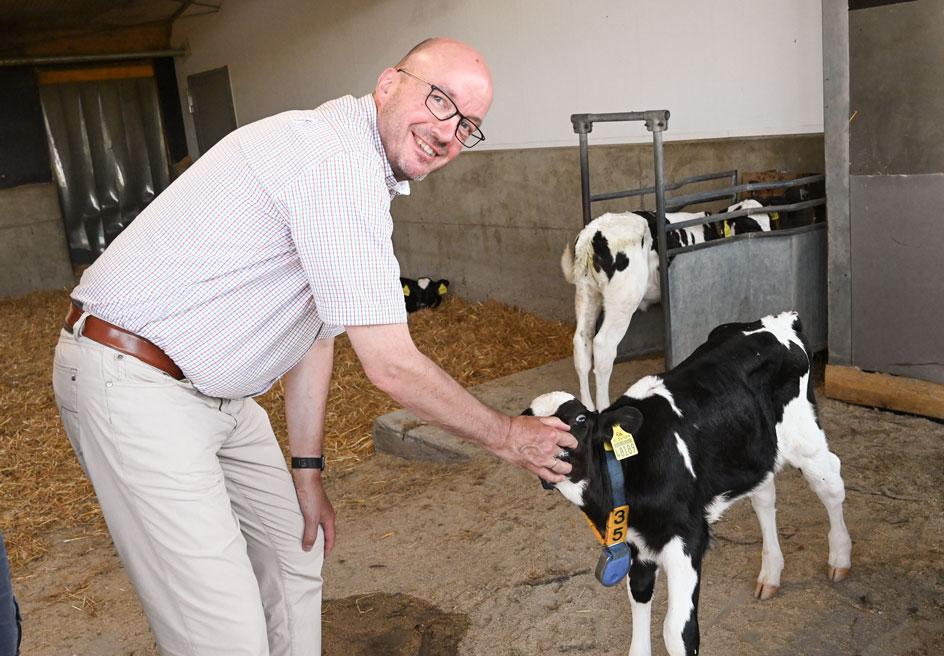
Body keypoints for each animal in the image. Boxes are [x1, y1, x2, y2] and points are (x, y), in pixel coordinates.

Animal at [528, 312, 852, 656]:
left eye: (580, 421)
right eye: (528, 420)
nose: (542, 448)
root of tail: (780, 318)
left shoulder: (688, 538)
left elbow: (677, 631)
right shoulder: (637, 544)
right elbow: (639, 596)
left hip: (806, 439)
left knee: (831, 484)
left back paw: (840, 558)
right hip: (752, 449)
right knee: (764, 496)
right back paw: (771, 573)